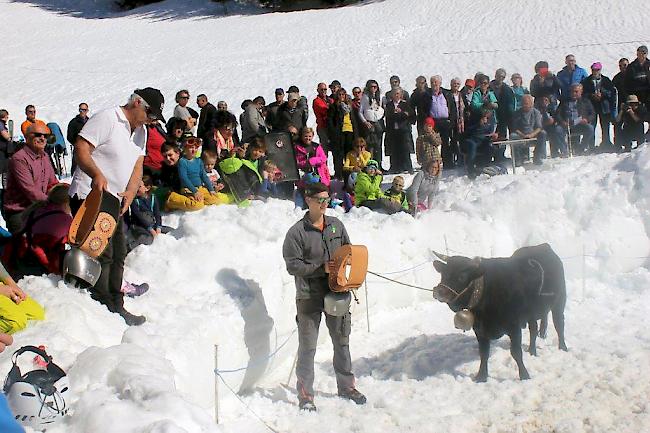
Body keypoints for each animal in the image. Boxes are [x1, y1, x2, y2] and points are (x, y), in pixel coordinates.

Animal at [430, 243, 568, 382]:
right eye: (443, 273)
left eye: (461, 276)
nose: (438, 291)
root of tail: (543, 246)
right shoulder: (479, 330)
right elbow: (483, 353)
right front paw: (481, 376)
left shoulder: (514, 327)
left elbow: (516, 352)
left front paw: (524, 376)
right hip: (531, 314)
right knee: (533, 330)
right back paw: (532, 351)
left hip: (559, 302)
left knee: (559, 325)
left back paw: (563, 348)